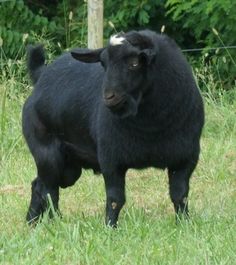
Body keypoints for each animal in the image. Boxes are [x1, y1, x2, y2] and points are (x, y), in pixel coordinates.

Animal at [22, 30, 205, 225]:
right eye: (104, 63)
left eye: (134, 63)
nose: (109, 96)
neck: (151, 129)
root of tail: (41, 76)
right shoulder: (111, 160)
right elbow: (116, 199)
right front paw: (110, 226)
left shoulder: (186, 158)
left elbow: (180, 195)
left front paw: (184, 223)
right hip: (47, 153)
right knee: (49, 190)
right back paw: (52, 222)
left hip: (69, 165)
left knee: (40, 185)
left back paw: (33, 222)